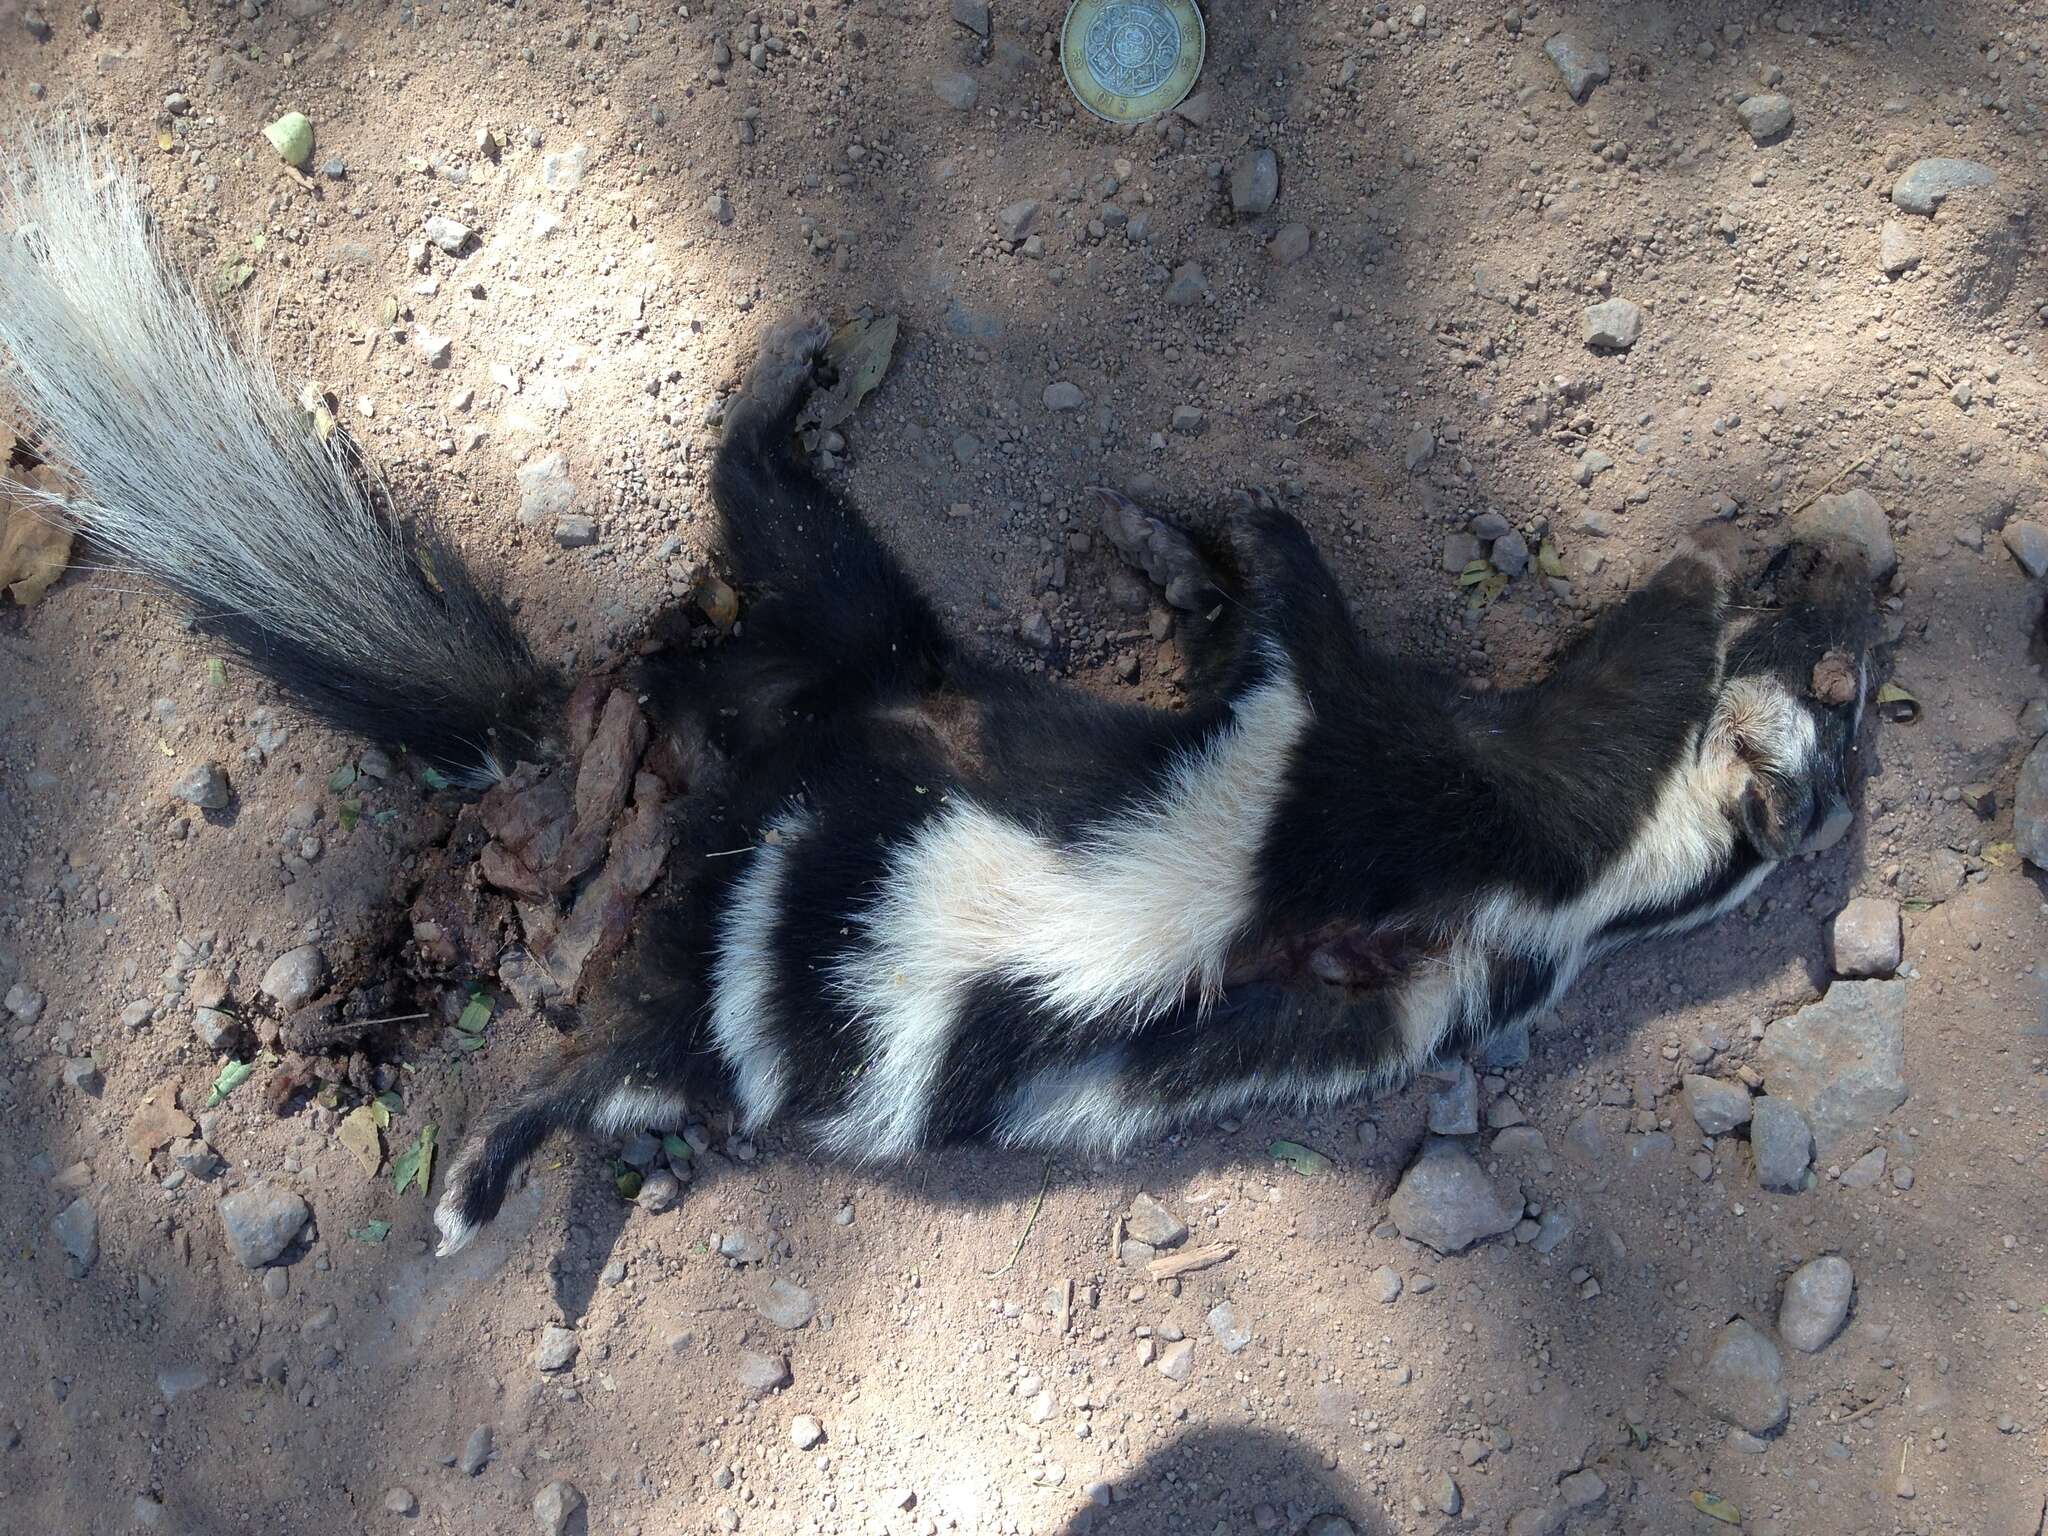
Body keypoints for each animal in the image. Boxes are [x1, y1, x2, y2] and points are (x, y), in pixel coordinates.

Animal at [0, 132, 1875, 1261]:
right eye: (1836, 667)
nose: (1853, 565)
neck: (1576, 866)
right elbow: (1274, 611)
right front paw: (1176, 547)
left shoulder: (1347, 759)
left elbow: (1290, 614)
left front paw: (1201, 533)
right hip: (790, 873)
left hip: (861, 691)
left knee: (785, 556)